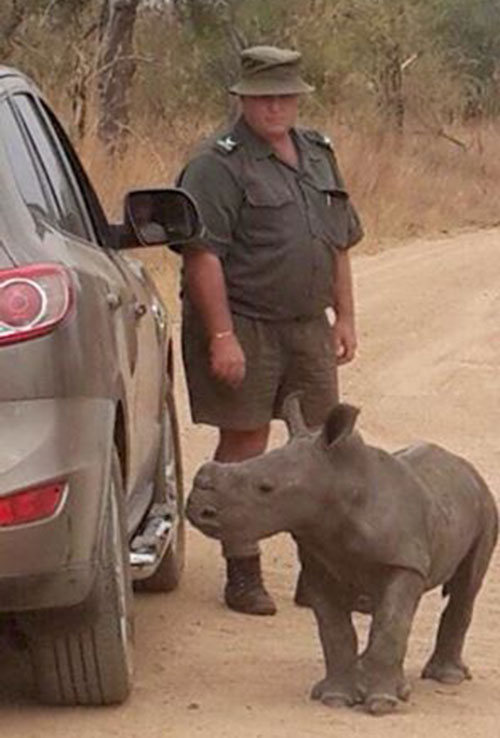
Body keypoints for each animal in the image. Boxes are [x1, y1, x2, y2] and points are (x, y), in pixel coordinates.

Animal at [186, 396, 498, 712]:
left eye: (266, 487)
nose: (198, 510)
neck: (341, 483)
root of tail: (465, 467)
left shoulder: (403, 561)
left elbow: (390, 625)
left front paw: (381, 704)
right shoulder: (318, 562)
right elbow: (335, 630)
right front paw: (335, 698)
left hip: (485, 504)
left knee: (465, 586)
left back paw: (446, 678)